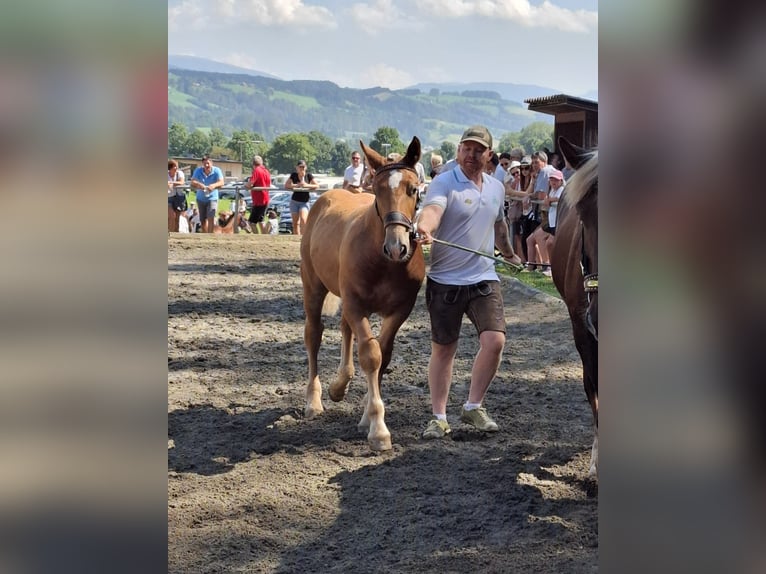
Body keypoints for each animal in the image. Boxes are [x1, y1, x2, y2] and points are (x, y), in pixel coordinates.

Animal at [300, 137, 426, 452]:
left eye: (413, 189)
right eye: (378, 190)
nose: (397, 247)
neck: (384, 262)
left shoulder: (400, 310)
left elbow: (384, 354)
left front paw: (366, 416)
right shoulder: (357, 305)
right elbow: (371, 355)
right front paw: (379, 429)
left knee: (345, 329)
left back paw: (340, 384)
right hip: (313, 287)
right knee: (314, 335)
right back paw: (314, 400)